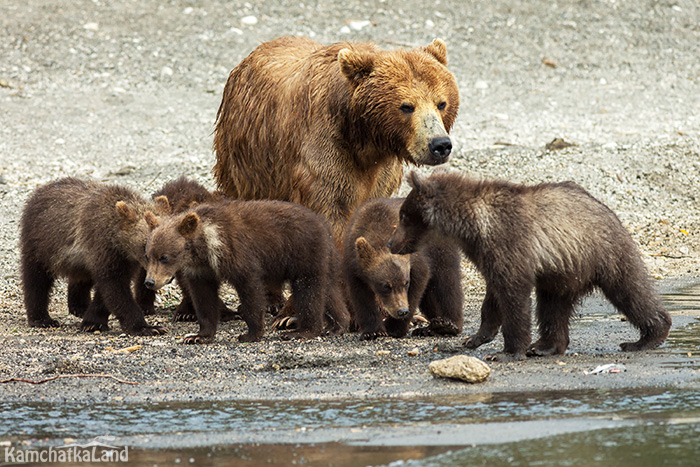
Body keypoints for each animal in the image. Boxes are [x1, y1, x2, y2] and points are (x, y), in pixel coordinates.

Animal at [212, 35, 460, 249]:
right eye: (406, 106)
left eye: (442, 103)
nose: (439, 145)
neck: (365, 138)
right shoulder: (325, 152)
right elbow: (331, 211)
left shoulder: (381, 171)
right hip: (250, 160)